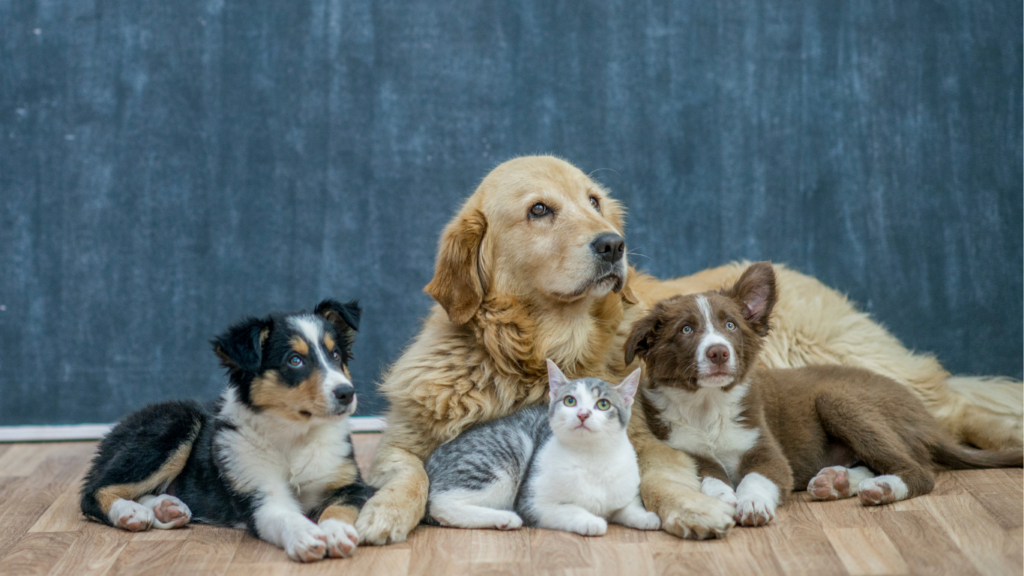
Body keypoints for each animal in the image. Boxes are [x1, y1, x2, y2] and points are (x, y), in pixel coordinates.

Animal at [80, 301, 376, 561]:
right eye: (295, 360)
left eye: (335, 356)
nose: (346, 393)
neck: (295, 434)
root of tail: (116, 428)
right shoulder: (258, 492)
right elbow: (285, 515)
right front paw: (306, 535)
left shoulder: (351, 484)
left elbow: (338, 508)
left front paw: (336, 533)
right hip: (175, 424)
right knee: (91, 492)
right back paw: (130, 511)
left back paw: (166, 508)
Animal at [421, 358, 655, 532]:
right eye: (570, 401)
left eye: (603, 404)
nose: (582, 414)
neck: (591, 457)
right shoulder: (532, 502)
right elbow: (568, 510)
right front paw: (591, 520)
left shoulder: (627, 491)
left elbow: (628, 507)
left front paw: (645, 517)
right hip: (510, 448)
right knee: (441, 503)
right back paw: (504, 518)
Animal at [626, 261, 1024, 524]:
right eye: (686, 329)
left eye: (730, 325)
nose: (718, 353)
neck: (708, 407)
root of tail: (929, 422)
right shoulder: (688, 451)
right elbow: (711, 478)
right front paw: (724, 499)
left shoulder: (768, 452)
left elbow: (757, 478)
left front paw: (751, 505)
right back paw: (840, 481)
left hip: (839, 399)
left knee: (918, 470)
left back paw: (882, 488)